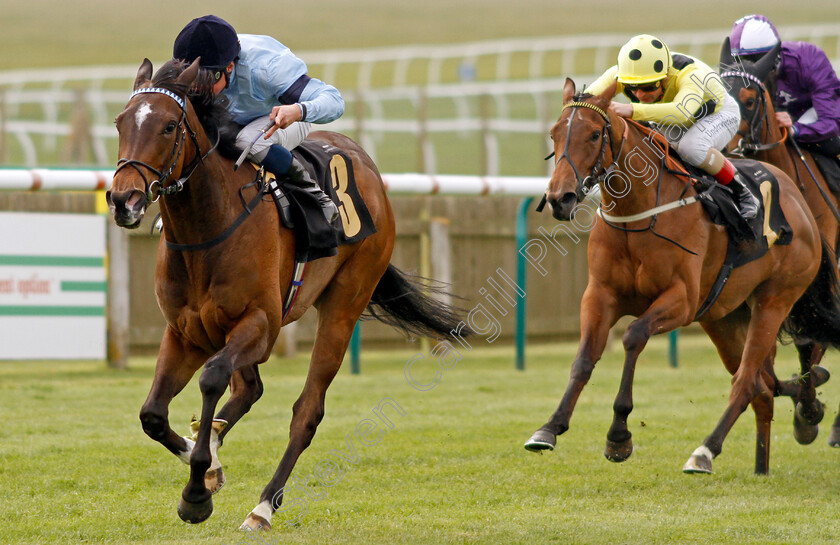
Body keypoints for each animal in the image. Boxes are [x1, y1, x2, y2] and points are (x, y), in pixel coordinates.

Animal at [106, 58, 466, 528]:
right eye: (120, 122)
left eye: (169, 126)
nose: (123, 200)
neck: (208, 229)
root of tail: (367, 167)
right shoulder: (185, 332)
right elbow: (152, 414)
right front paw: (204, 461)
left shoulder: (259, 325)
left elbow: (212, 378)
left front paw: (196, 492)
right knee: (249, 390)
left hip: (343, 307)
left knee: (306, 412)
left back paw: (262, 507)